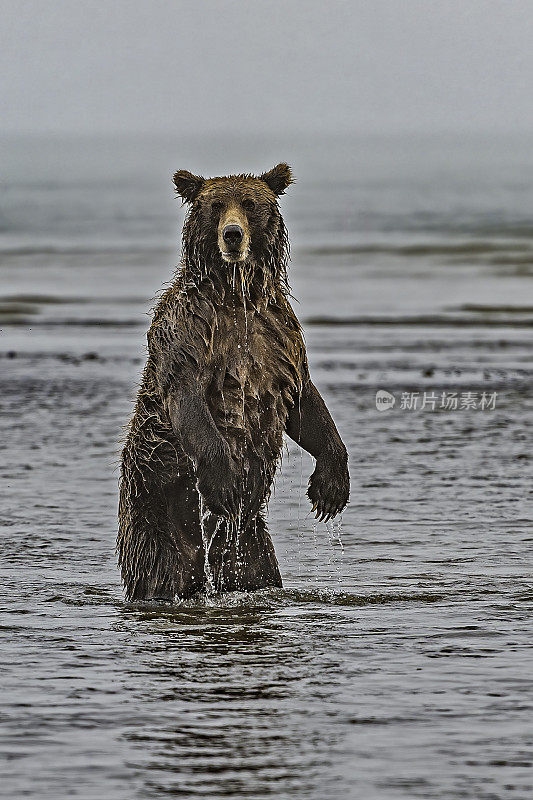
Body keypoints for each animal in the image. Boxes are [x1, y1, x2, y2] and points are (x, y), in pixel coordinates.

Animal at [117, 164, 350, 600]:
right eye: (214, 205)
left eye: (250, 203)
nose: (232, 234)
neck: (236, 295)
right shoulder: (188, 332)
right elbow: (188, 398)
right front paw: (225, 482)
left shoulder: (277, 337)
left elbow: (303, 401)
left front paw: (330, 488)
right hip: (155, 501)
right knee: (161, 568)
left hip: (249, 539)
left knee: (257, 568)